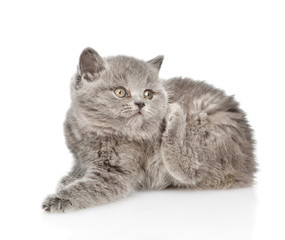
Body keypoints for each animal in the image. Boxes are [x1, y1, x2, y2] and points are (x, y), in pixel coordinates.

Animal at [41, 47, 255, 213]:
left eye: (148, 94)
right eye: (120, 92)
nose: (141, 103)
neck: (95, 132)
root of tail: (249, 162)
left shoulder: (115, 174)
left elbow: (87, 187)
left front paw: (59, 198)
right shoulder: (80, 156)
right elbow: (76, 171)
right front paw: (67, 180)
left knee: (191, 170)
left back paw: (174, 115)